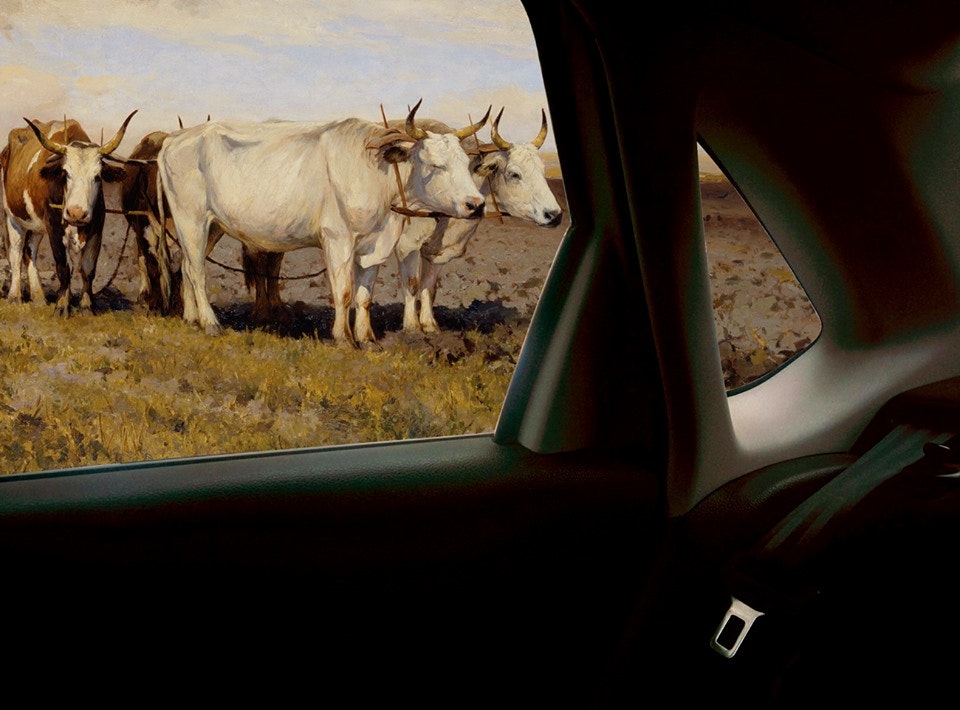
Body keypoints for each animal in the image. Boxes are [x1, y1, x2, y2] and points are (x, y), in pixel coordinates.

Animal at [1, 111, 137, 315]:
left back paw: (39, 297)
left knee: (29, 251)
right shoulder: (54, 226)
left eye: (97, 176)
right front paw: (62, 306)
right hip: (13, 216)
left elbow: (88, 267)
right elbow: (63, 267)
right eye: (65, 173)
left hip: (37, 225)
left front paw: (87, 306)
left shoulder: (97, 226)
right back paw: (15, 297)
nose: (76, 213)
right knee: (16, 253)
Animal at [156, 100, 489, 344]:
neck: (375, 172)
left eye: (466, 162)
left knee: (186, 265)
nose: (476, 204)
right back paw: (211, 323)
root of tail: (176, 137)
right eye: (436, 165)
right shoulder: (337, 238)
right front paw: (343, 338)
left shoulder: (374, 244)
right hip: (191, 218)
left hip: (211, 226)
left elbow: (365, 295)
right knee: (197, 270)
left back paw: (191, 319)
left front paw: (367, 338)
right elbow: (344, 290)